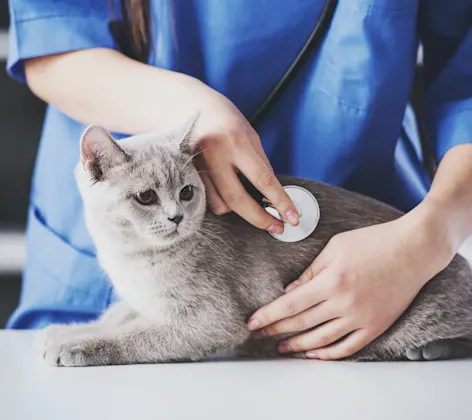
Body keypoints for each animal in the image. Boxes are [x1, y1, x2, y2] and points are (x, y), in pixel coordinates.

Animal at [36, 120, 472, 364]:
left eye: (187, 192)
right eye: (146, 197)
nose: (177, 217)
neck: (131, 259)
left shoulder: (209, 321)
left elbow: (137, 337)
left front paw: (78, 347)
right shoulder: (142, 301)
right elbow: (117, 316)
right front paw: (67, 331)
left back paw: (424, 350)